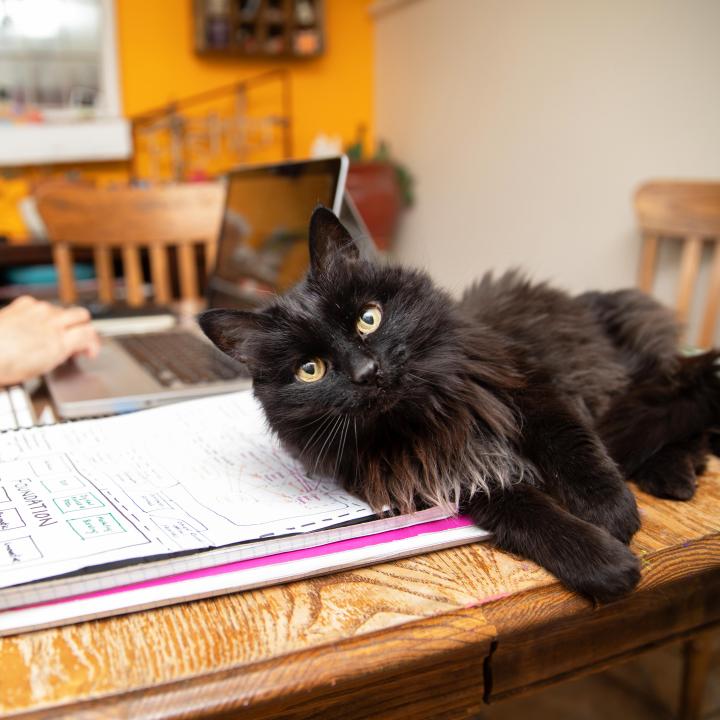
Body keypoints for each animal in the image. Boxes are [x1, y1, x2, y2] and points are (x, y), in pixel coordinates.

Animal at [200, 207, 720, 600]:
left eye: (368, 319)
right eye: (311, 370)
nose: (367, 372)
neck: (427, 419)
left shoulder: (528, 387)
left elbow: (574, 451)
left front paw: (611, 512)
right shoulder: (456, 479)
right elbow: (532, 519)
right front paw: (604, 563)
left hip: (633, 368)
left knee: (679, 396)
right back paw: (675, 474)